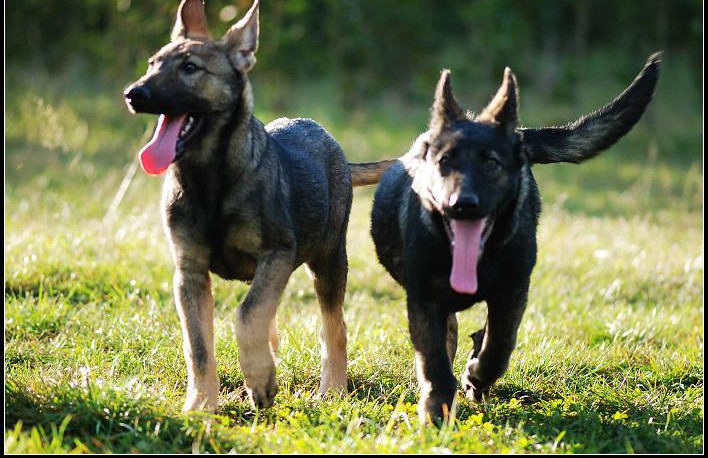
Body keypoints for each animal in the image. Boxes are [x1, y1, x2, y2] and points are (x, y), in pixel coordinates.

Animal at [121, 0, 388, 414]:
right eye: (152, 64)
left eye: (190, 68)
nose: (133, 94)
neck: (209, 181)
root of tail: (338, 151)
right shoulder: (189, 272)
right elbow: (199, 346)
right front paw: (200, 406)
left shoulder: (277, 252)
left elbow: (248, 315)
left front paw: (260, 381)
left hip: (328, 259)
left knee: (334, 327)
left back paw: (332, 391)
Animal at [368, 53, 660, 422]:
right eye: (444, 162)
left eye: (491, 163)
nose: (462, 205)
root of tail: (519, 136)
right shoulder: (424, 299)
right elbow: (434, 358)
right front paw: (437, 406)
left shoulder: (512, 291)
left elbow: (499, 345)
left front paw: (476, 376)